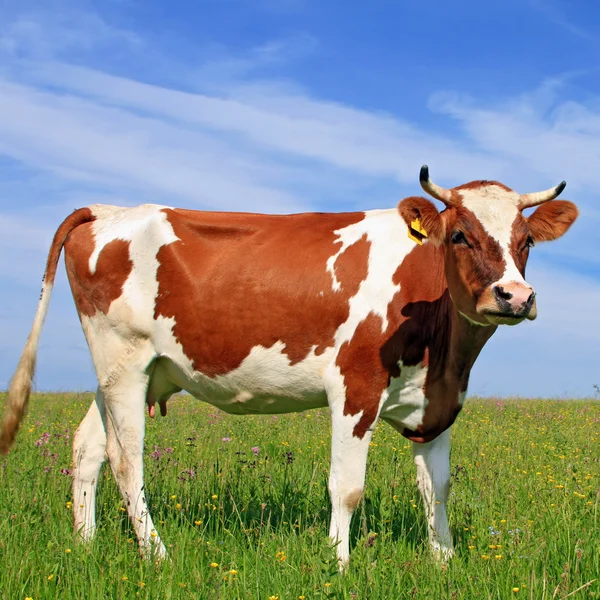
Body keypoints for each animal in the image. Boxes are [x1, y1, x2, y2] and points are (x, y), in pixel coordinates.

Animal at [1, 166, 580, 564]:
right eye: (460, 234)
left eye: (527, 241)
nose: (514, 296)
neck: (445, 352)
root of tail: (106, 209)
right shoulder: (354, 387)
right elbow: (346, 487)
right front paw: (339, 565)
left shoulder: (435, 400)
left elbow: (436, 488)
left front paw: (445, 564)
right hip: (123, 360)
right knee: (127, 461)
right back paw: (157, 556)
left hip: (128, 372)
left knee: (87, 448)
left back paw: (85, 545)